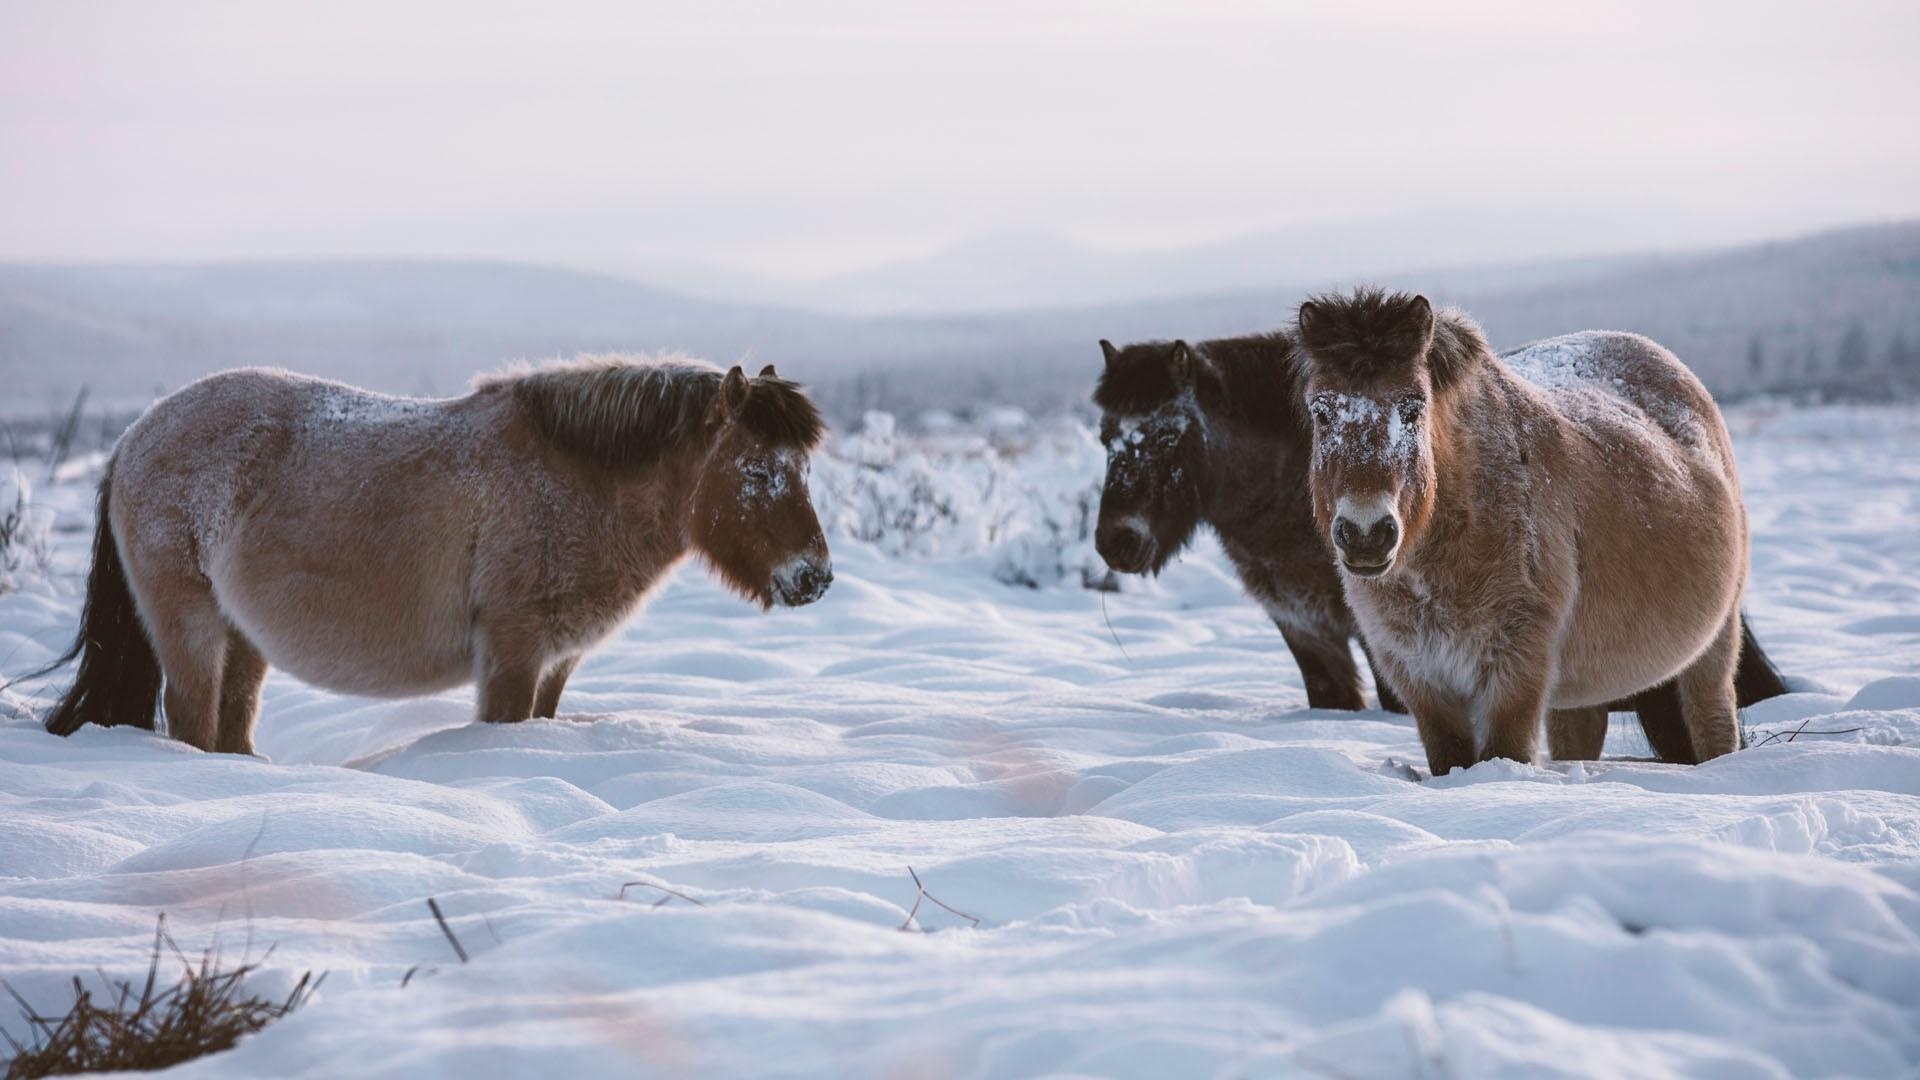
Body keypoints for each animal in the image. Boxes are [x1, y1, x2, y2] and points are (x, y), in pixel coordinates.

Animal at [39, 353, 833, 749]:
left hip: (243, 638)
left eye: (803, 467)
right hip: (189, 627)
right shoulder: (513, 653)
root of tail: (137, 435)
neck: (577, 480)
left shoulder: (556, 664)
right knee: (193, 721)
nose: (814, 578)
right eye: (756, 471)